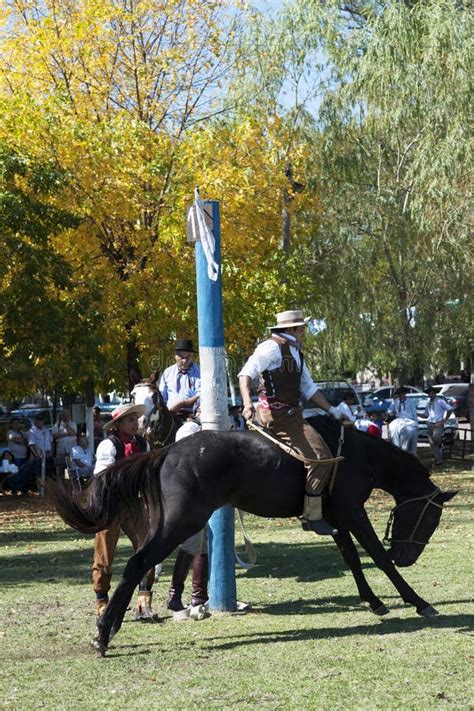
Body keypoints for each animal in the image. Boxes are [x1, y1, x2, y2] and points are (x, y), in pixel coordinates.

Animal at [51, 418, 456, 656]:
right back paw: (104, 633)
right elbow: (376, 556)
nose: (408, 556)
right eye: (430, 518)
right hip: (181, 522)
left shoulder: (336, 518)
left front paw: (374, 601)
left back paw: (111, 627)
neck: (358, 455)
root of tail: (167, 451)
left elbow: (353, 559)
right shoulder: (354, 513)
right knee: (138, 563)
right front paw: (417, 600)